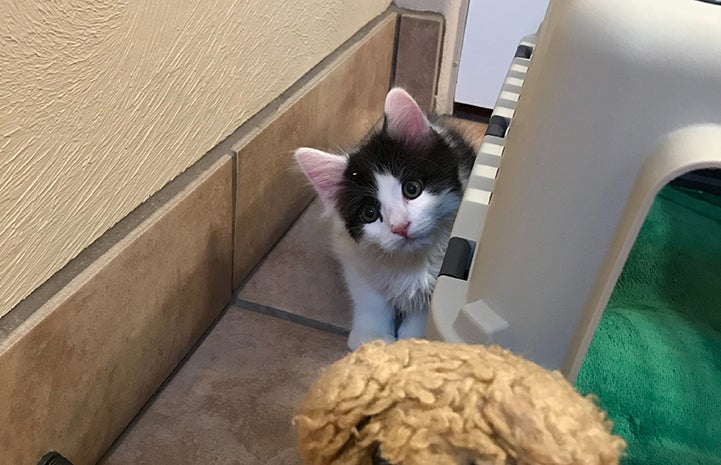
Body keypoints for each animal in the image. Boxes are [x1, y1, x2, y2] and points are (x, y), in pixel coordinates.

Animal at [292, 86, 472, 348]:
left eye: (412, 189)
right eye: (369, 213)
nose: (400, 226)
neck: (411, 262)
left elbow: (425, 306)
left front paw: (415, 338)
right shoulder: (354, 258)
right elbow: (370, 298)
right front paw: (372, 336)